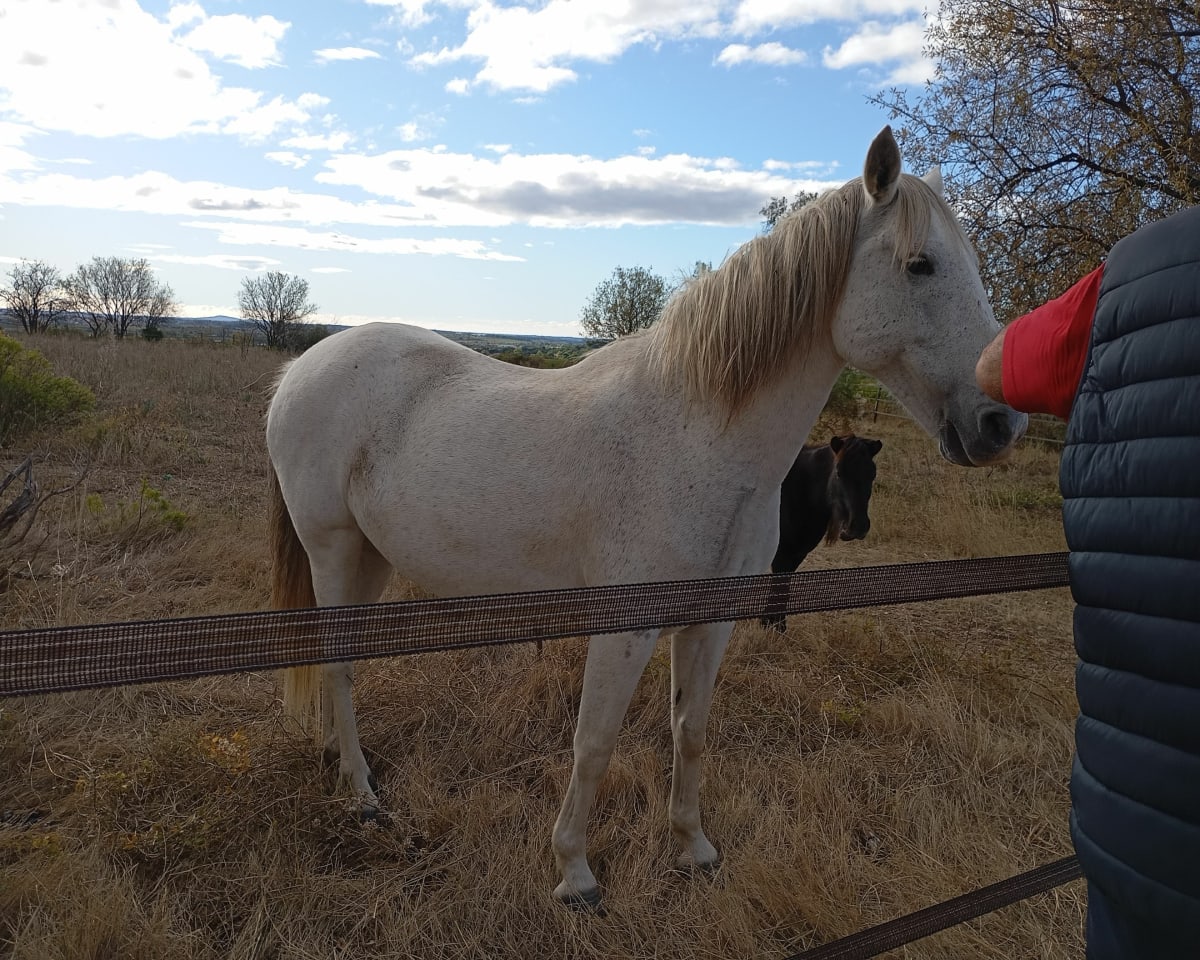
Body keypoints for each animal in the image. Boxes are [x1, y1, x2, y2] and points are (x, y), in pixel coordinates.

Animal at [760, 434, 882, 632]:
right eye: (839, 472)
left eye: (872, 474)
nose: (858, 527)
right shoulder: (781, 555)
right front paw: (773, 626)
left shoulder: (796, 554)